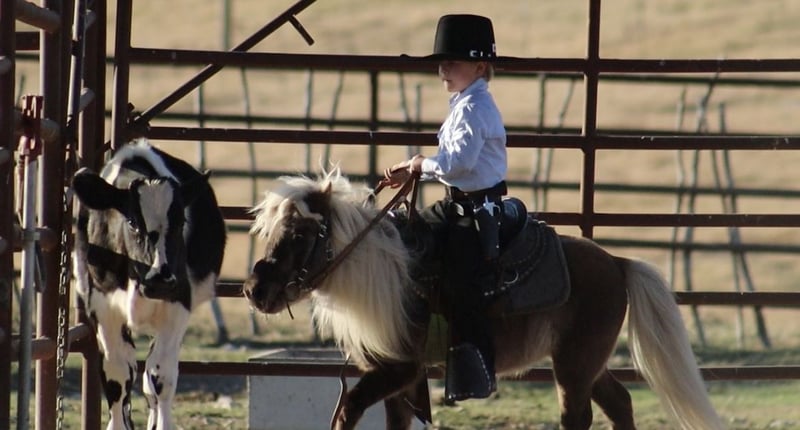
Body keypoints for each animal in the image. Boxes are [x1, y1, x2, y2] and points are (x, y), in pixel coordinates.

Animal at [72, 138, 226, 430]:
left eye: (181, 221)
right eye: (132, 222)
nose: (161, 280)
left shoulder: (177, 307)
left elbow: (161, 377)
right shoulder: (103, 308)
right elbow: (117, 376)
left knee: (151, 378)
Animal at [242, 169, 724, 430]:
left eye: (300, 234)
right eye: (271, 231)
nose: (254, 290)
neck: (387, 274)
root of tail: (618, 262)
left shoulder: (400, 369)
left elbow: (346, 410)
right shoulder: (399, 378)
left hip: (574, 365)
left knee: (578, 415)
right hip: (586, 360)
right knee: (619, 402)